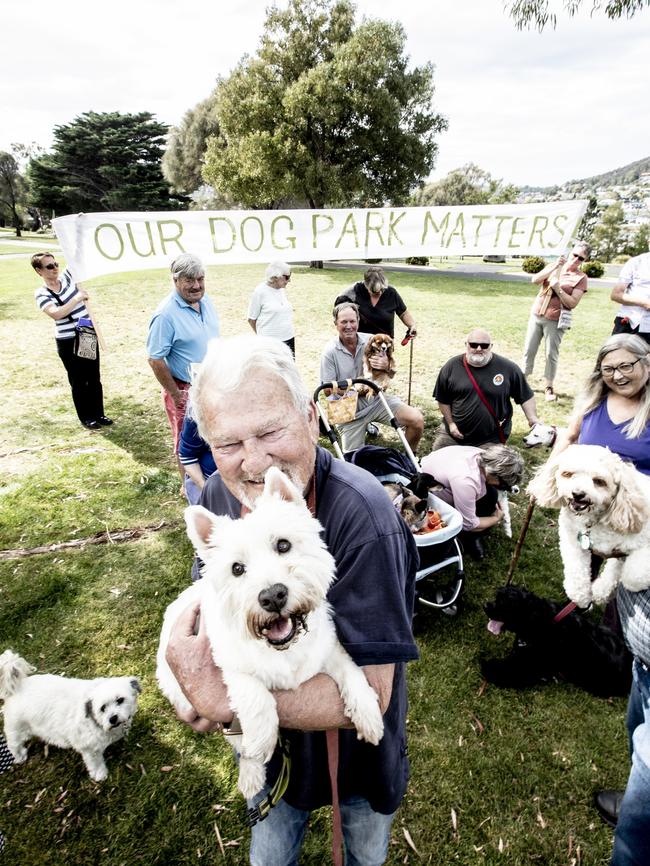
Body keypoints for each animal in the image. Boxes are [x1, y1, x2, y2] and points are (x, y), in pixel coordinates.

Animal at [0, 648, 140, 784]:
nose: (113, 718)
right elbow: (95, 763)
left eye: (120, 700)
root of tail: (17, 687)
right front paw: (100, 774)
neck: (94, 719)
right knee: (13, 744)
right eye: (102, 708)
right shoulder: (89, 749)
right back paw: (19, 756)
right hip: (17, 729)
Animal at [155, 466, 382, 796]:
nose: (272, 596)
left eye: (283, 545)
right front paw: (261, 743)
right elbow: (256, 696)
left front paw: (368, 714)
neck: (284, 648)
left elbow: (353, 671)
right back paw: (251, 775)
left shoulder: (328, 649)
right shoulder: (227, 665)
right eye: (237, 568)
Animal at [480, 580, 628, 696]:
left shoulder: (530, 665)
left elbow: (508, 670)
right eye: (498, 596)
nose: (486, 606)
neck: (540, 621)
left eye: (507, 604)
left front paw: (488, 666)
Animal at [528, 446, 648, 608]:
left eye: (599, 481)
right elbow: (576, 567)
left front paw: (630, 584)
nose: (577, 494)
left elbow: (634, 575)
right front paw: (580, 596)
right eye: (567, 474)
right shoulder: (571, 538)